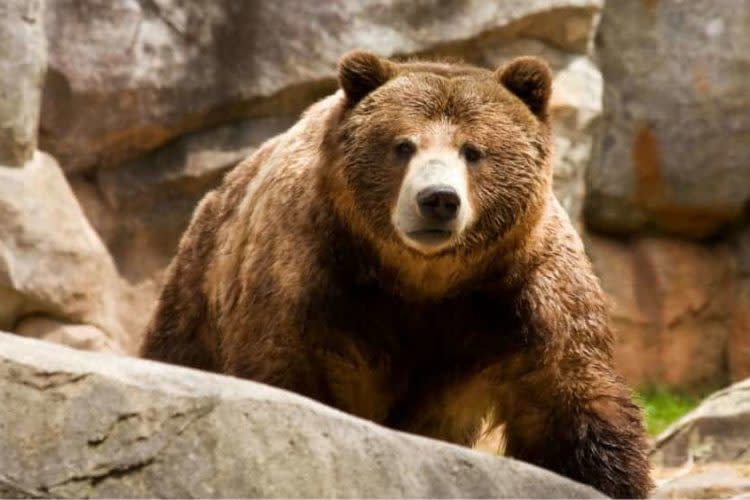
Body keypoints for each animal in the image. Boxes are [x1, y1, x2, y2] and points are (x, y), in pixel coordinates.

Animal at [141, 50, 652, 496]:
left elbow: (569, 403)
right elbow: (283, 368)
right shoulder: (309, 270)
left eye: (472, 151)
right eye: (403, 145)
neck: (424, 278)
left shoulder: (524, 288)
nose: (438, 199)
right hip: (199, 290)